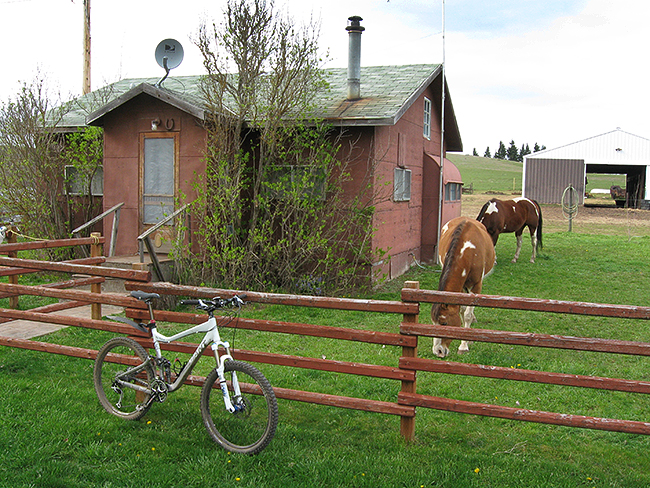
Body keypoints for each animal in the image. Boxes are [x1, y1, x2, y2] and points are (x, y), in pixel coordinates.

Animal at [428, 217, 494, 358]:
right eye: (433, 322)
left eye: (444, 323)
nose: (438, 351)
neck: (467, 251)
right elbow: (463, 311)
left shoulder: (475, 286)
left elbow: (467, 314)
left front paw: (463, 346)